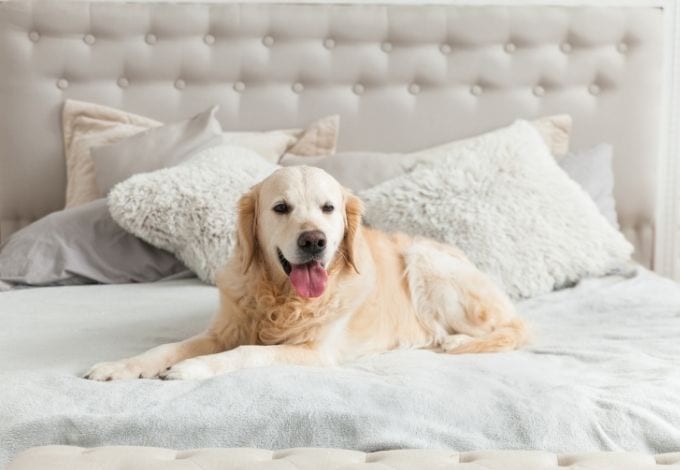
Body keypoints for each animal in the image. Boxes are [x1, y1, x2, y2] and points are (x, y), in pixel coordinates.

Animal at [83, 166, 524, 382]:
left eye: (328, 208)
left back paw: (453, 341)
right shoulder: (222, 330)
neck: (280, 298)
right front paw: (119, 366)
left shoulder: (314, 351)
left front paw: (193, 369)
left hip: (424, 259)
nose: (314, 241)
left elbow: (247, 353)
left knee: (511, 330)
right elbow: (166, 348)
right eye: (281, 208)